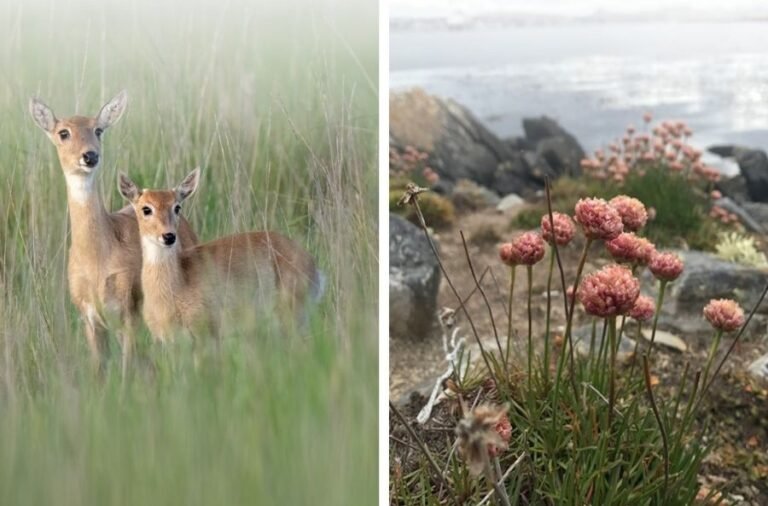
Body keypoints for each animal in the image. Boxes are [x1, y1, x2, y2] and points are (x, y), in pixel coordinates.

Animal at [28, 93, 198, 374]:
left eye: (98, 129)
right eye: (63, 132)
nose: (90, 155)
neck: (97, 259)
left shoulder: (129, 313)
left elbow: (127, 369)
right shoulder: (89, 318)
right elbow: (99, 370)